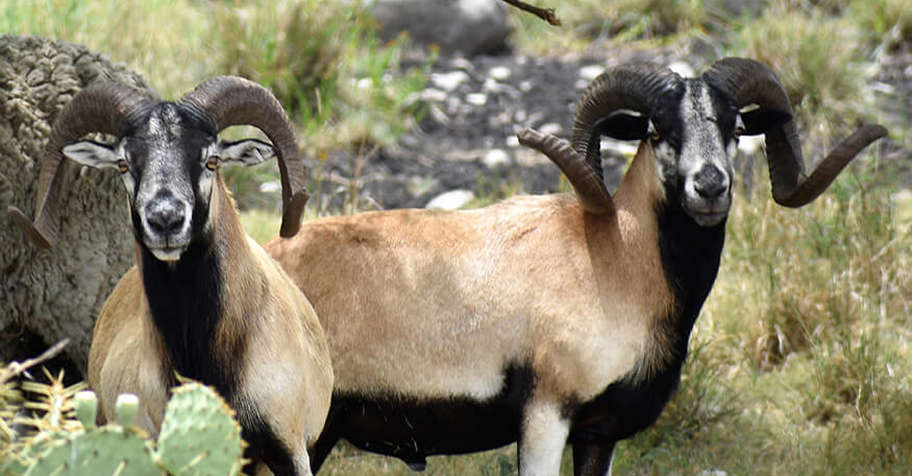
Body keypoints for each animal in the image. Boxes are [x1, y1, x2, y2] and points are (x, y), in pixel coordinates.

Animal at [264, 58, 886, 474]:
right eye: (658, 130)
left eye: (735, 128)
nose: (709, 187)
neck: (617, 262)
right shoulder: (546, 419)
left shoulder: (597, 436)